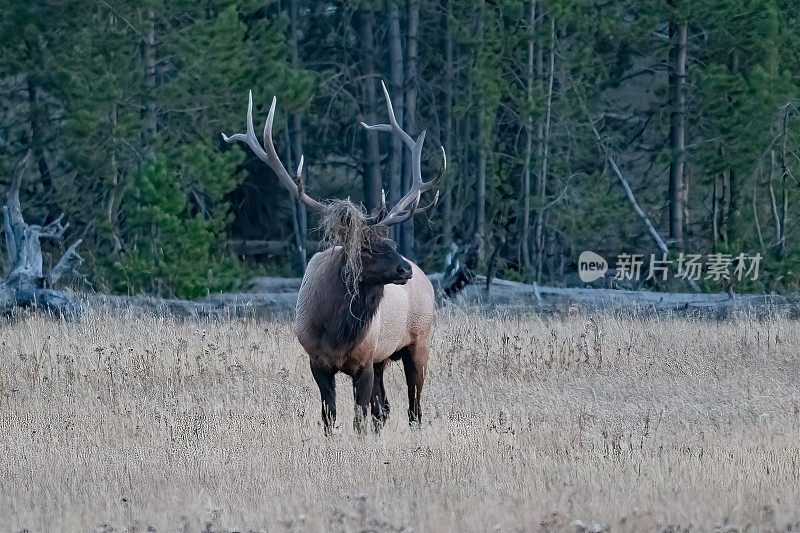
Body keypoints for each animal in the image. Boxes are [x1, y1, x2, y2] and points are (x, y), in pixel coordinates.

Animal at [222, 81, 444, 434]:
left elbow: (359, 419)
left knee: (414, 407)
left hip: (418, 342)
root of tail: (427, 279)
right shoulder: (318, 362)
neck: (336, 331)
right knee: (385, 408)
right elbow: (330, 416)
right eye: (365, 247)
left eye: (389, 241)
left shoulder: (364, 361)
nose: (404, 269)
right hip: (383, 359)